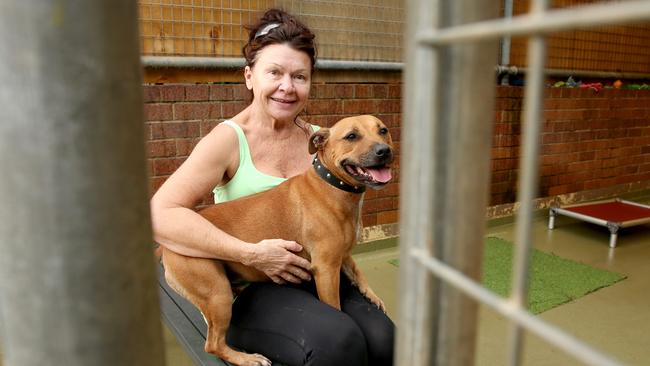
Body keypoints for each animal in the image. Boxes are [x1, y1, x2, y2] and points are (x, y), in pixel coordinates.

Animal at [161, 115, 394, 366]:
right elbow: (336, 307)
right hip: (217, 295)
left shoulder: (342, 255)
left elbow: (357, 271)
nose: (384, 151)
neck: (332, 186)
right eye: (351, 136)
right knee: (213, 344)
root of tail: (165, 249)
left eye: (383, 130)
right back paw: (246, 359)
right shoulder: (327, 269)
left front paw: (370, 294)